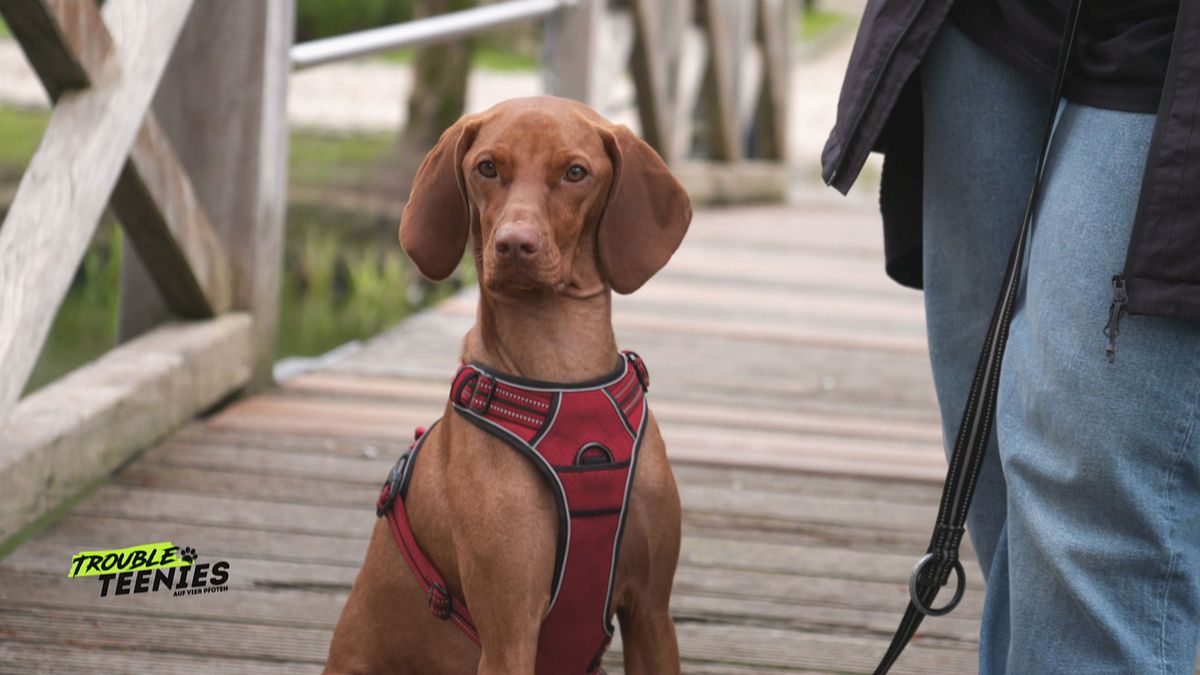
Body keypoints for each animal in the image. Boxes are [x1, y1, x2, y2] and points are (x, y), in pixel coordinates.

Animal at [326, 96, 696, 672]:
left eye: (575, 173)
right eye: (487, 168)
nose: (514, 244)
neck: (562, 370)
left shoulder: (652, 615)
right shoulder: (509, 633)